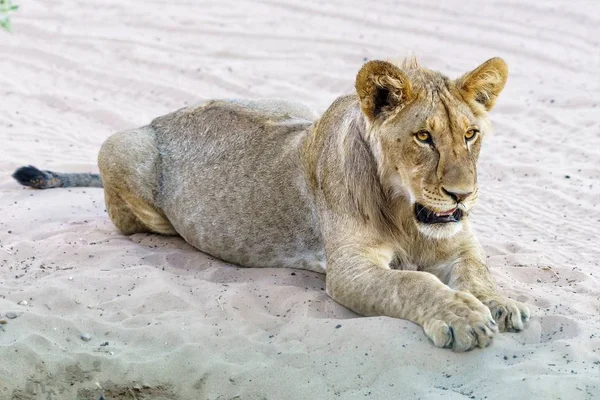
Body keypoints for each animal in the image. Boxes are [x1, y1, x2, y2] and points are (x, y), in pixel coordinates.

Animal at [12, 57, 528, 352]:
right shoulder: (349, 271)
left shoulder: (458, 241)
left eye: (471, 134)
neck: (407, 211)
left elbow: (477, 271)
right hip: (118, 147)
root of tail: (160, 116)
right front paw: (463, 317)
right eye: (423, 137)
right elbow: (415, 282)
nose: (463, 195)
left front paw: (501, 303)